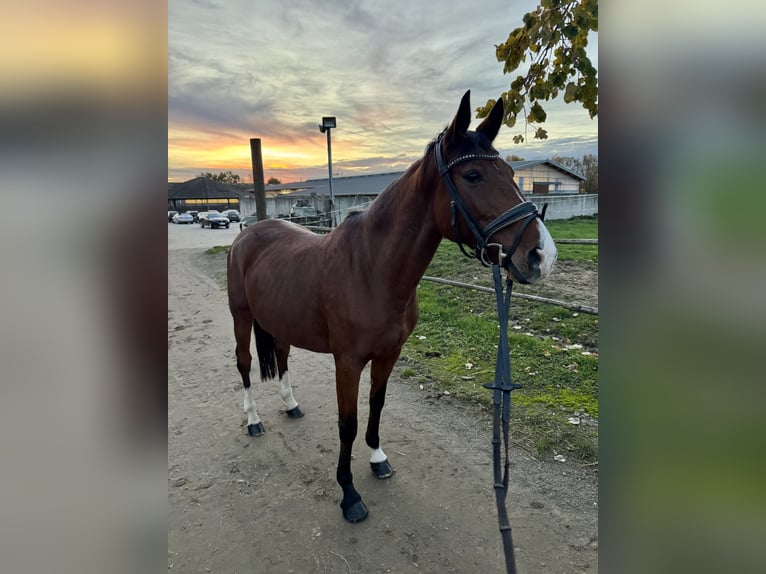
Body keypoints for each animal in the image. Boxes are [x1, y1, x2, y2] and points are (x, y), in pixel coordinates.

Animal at [226, 90, 557, 523]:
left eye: (508, 172)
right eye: (473, 176)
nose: (542, 255)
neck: (372, 268)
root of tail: (249, 233)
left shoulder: (389, 354)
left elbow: (377, 405)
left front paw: (378, 458)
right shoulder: (348, 361)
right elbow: (347, 423)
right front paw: (349, 493)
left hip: (280, 320)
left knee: (280, 354)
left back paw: (291, 404)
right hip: (241, 317)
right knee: (245, 364)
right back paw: (252, 420)